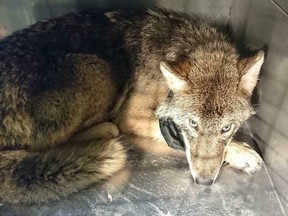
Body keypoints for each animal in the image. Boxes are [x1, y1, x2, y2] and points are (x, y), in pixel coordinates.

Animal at [0, 8, 264, 204]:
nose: (204, 182)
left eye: (227, 127)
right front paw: (241, 152)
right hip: (96, 67)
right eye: (192, 123)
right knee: (52, 143)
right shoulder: (131, 115)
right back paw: (106, 130)